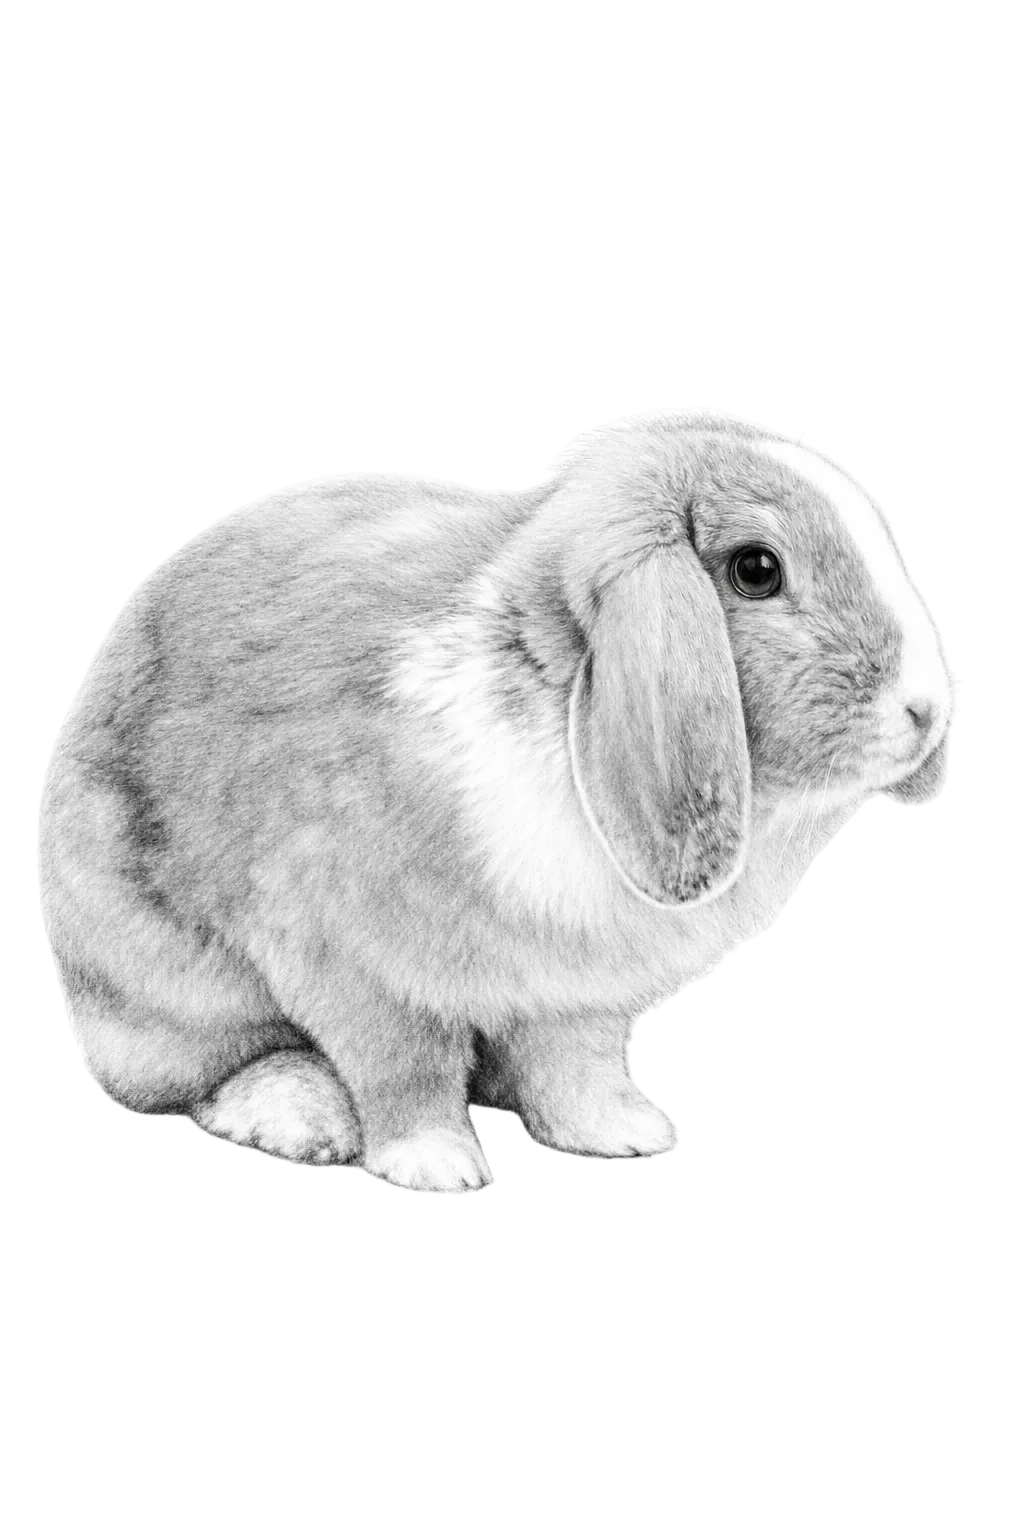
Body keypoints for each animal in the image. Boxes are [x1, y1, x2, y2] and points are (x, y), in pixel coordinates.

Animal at [37, 406, 960, 1195]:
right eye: (756, 570)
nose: (927, 707)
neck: (558, 701)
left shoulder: (576, 1004)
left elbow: (574, 1070)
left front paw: (625, 1136)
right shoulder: (363, 971)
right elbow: (405, 1069)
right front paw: (438, 1166)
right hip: (167, 986)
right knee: (199, 1075)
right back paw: (302, 1117)